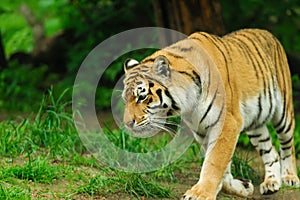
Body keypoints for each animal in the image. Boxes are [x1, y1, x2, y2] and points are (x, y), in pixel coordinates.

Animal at [120, 28, 298, 200]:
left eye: (142, 96)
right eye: (125, 99)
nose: (127, 124)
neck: (189, 104)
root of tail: (267, 33)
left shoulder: (227, 123)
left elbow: (214, 161)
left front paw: (199, 193)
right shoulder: (201, 129)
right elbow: (221, 165)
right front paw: (242, 187)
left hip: (283, 114)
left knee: (287, 145)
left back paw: (290, 178)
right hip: (255, 124)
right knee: (270, 151)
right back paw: (271, 183)